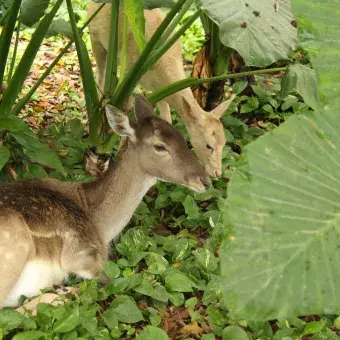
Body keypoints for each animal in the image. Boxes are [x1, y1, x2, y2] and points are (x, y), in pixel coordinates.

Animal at [87, 3, 235, 178]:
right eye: (208, 145)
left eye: (224, 142)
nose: (217, 173)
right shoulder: (130, 74)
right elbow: (126, 116)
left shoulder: (161, 89)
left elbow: (166, 119)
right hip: (96, 40)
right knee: (100, 75)